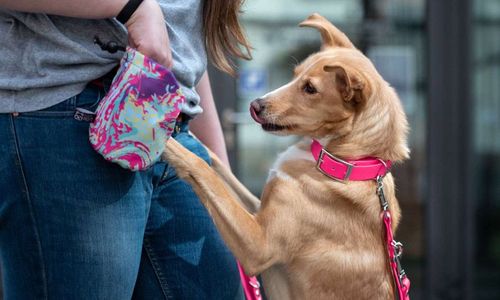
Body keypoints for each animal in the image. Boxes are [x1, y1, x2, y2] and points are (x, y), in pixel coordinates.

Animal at [164, 12, 410, 298]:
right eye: (294, 75)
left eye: (310, 89)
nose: (254, 105)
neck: (345, 162)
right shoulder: (257, 208)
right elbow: (217, 170)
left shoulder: (258, 244)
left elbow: (206, 174)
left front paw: (166, 142)